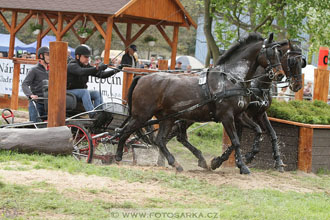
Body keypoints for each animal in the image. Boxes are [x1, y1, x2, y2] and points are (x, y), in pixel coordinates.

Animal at [114, 32, 282, 174]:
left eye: (280, 53)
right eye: (272, 53)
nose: (279, 75)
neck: (232, 78)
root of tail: (142, 77)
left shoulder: (239, 115)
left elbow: (258, 131)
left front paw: (248, 158)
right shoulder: (227, 116)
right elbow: (235, 141)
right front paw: (242, 166)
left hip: (167, 118)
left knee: (160, 140)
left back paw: (176, 164)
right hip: (142, 115)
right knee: (125, 131)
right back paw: (118, 156)